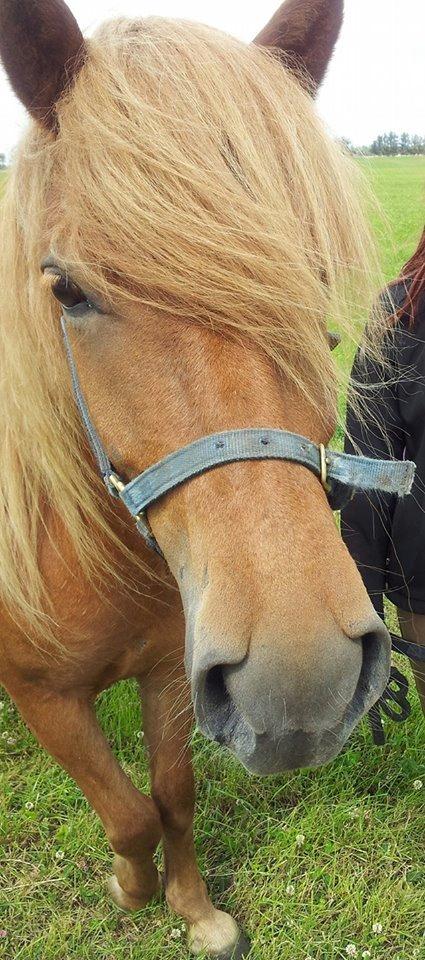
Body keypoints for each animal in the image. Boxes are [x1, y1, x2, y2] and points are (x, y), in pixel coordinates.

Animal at [0, 0, 390, 956]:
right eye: (66, 291)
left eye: (310, 273)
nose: (301, 677)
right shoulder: (41, 694)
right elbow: (127, 813)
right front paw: (131, 888)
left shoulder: (174, 676)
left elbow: (172, 797)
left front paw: (195, 910)